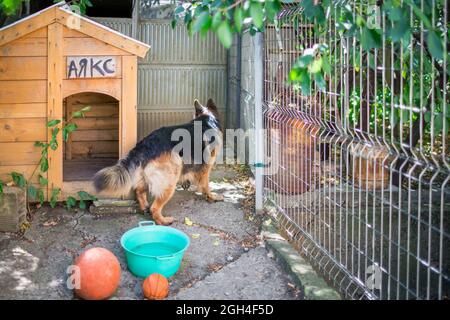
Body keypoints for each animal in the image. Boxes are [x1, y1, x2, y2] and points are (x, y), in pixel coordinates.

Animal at [93, 98, 223, 225]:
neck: (207, 119)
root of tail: (145, 144)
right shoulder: (206, 168)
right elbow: (206, 185)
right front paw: (211, 197)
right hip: (170, 178)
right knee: (155, 208)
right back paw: (163, 221)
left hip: (147, 176)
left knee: (139, 191)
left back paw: (144, 207)